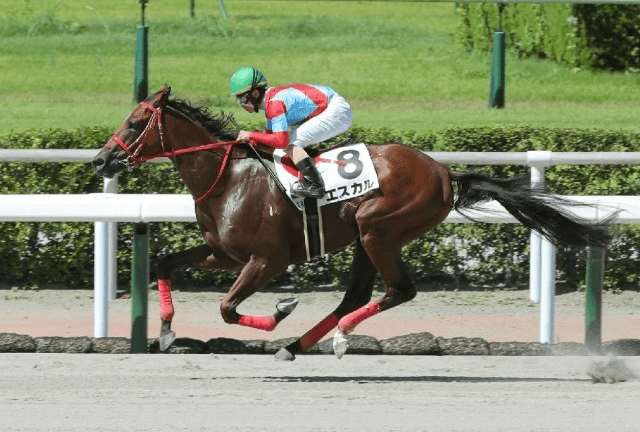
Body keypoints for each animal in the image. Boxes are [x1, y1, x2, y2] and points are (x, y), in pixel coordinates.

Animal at [91, 86, 608, 360]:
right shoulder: (223, 252)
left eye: (135, 123)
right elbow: (164, 261)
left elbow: (227, 309)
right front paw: (165, 331)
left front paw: (280, 310)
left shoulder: (266, 260)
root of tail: (443, 171)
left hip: (381, 229)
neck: (228, 179)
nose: (101, 160)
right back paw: (298, 345)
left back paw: (335, 337)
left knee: (398, 290)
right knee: (357, 294)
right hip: (365, 236)